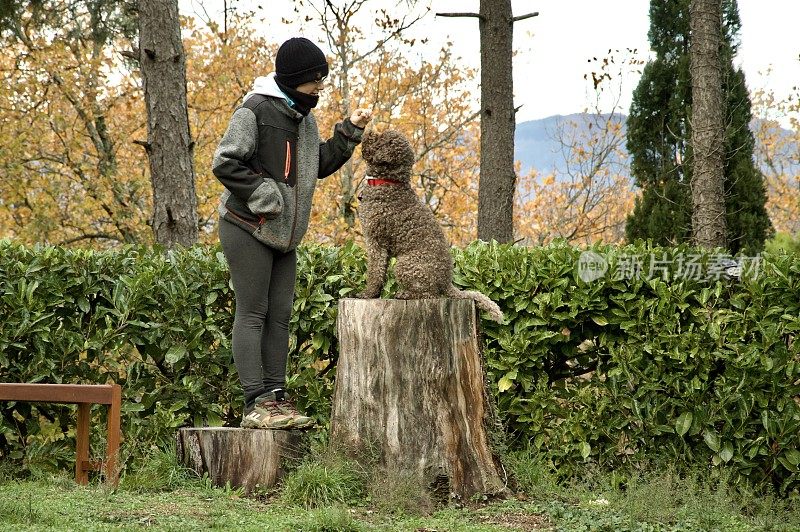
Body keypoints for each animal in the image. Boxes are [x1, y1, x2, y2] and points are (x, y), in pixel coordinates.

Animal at [354, 128, 500, 324]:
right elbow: (380, 273)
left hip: (405, 265)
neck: (389, 183)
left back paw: (405, 294)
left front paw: (367, 293)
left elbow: (374, 272)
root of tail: (446, 282)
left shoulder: (375, 242)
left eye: (381, 139)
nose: (368, 130)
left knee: (429, 294)